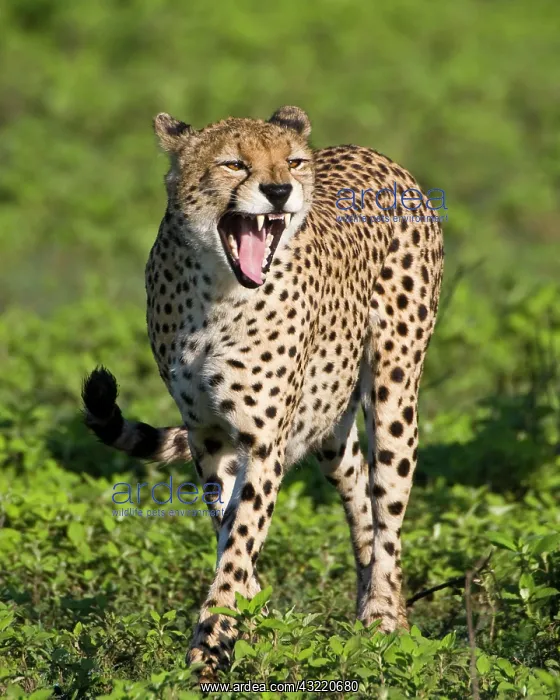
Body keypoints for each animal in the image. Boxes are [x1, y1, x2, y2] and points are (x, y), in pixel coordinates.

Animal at [82, 105, 444, 678]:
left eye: (292, 162)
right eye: (233, 163)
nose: (279, 190)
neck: (217, 291)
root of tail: (378, 156)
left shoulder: (263, 441)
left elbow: (240, 539)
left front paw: (210, 647)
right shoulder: (209, 435)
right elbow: (229, 528)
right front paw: (254, 624)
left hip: (394, 392)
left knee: (388, 503)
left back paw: (385, 618)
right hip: (327, 422)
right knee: (357, 490)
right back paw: (370, 609)